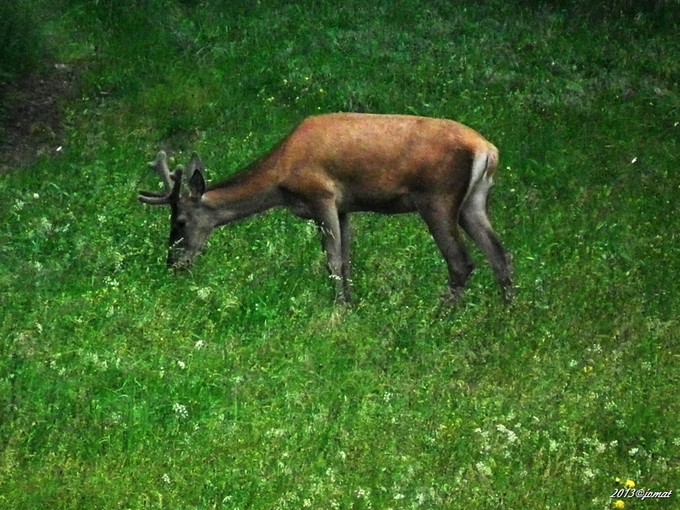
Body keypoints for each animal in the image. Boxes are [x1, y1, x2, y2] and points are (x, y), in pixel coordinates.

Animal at [137, 113, 510, 304]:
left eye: (180, 221)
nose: (173, 264)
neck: (281, 173)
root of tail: (488, 149)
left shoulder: (321, 195)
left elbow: (331, 260)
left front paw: (338, 309)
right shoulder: (345, 207)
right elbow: (346, 259)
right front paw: (350, 304)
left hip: (437, 198)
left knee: (462, 262)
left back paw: (442, 316)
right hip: (474, 202)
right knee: (500, 253)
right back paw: (507, 312)